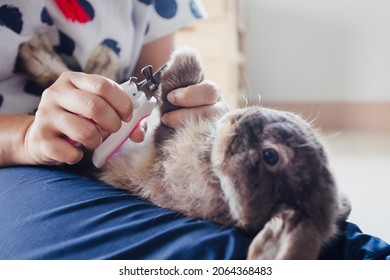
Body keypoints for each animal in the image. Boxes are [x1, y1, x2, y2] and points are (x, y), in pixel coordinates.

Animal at [16, 34, 350, 260]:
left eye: (271, 156)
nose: (241, 117)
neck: (214, 173)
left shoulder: (162, 152)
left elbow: (165, 111)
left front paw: (184, 61)